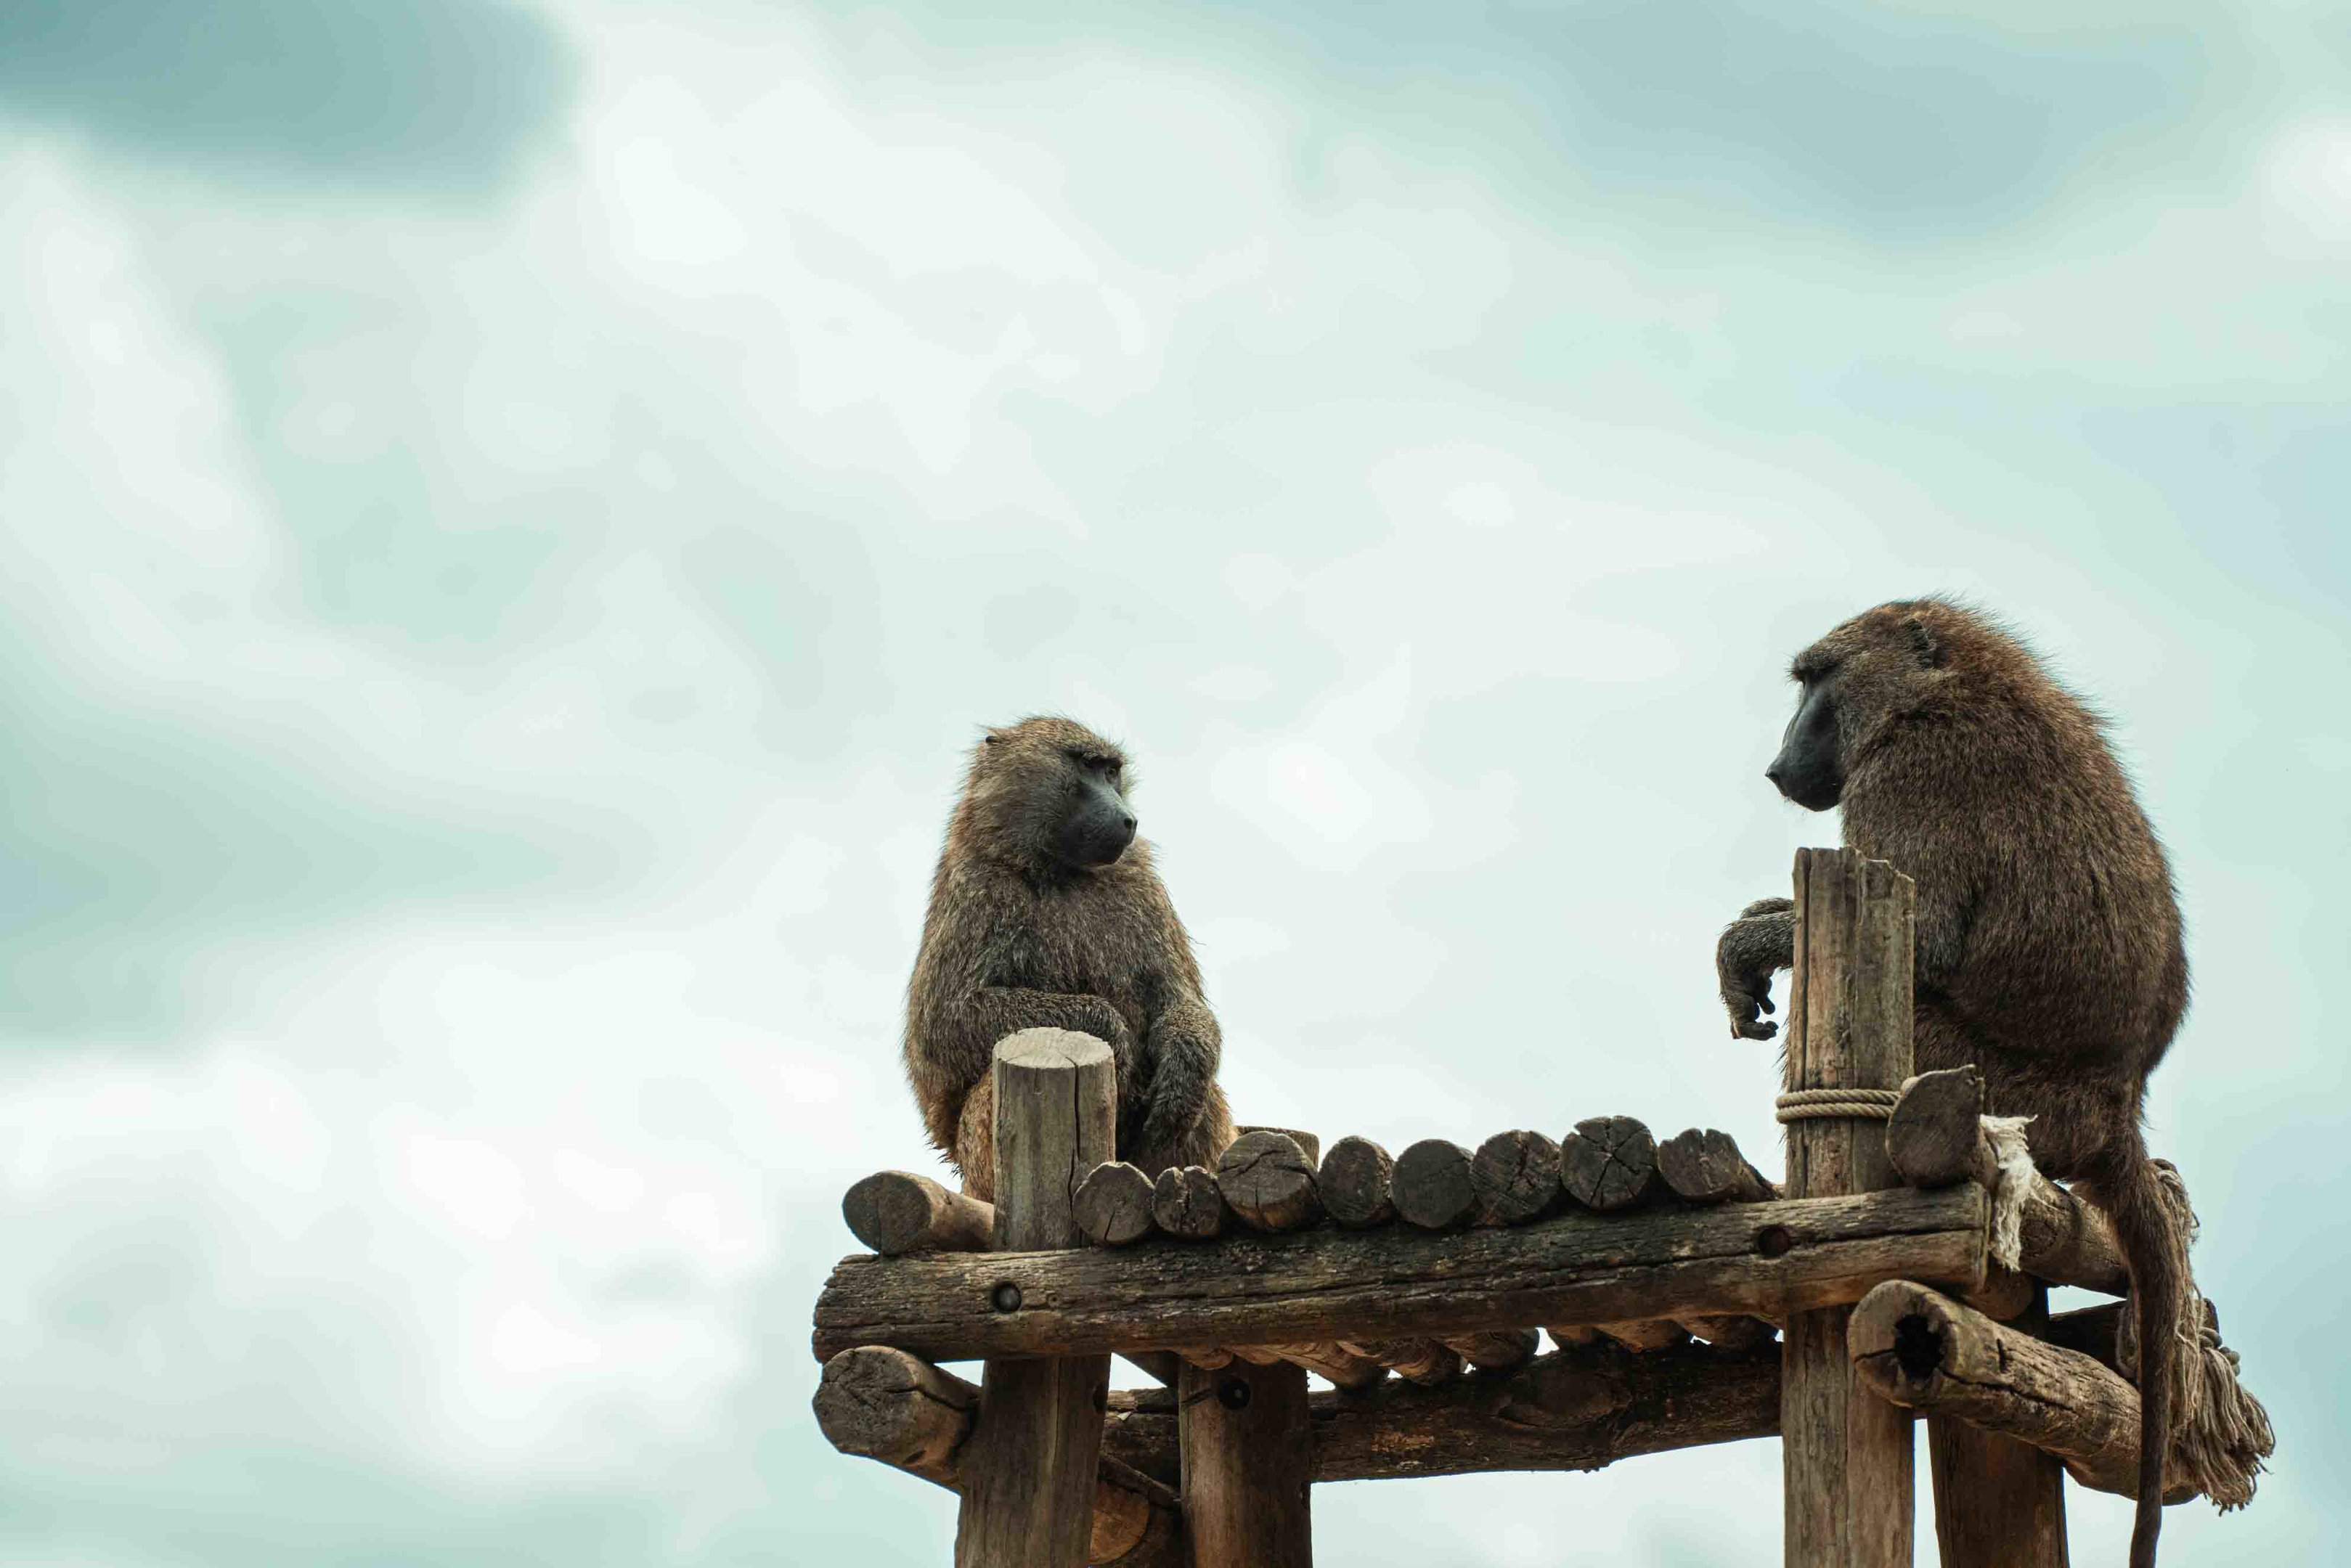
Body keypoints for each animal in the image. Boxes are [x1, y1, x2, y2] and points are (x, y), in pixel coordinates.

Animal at [903, 715, 1234, 1203]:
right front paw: (1107, 1026)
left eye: (1112, 772)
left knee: (1200, 1092)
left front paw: (1184, 1060)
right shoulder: (975, 887)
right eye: (1086, 766)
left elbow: (1180, 1000)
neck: (1059, 869)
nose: (1128, 819)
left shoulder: (1144, 886)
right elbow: (944, 1024)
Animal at [1716, 598, 2189, 1568]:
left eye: (1817, 680)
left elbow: (1927, 937)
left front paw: (1746, 946)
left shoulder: (1911, 771)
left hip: (2004, 1090)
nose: (1778, 765)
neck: (1939, 689)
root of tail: (2115, 1112)